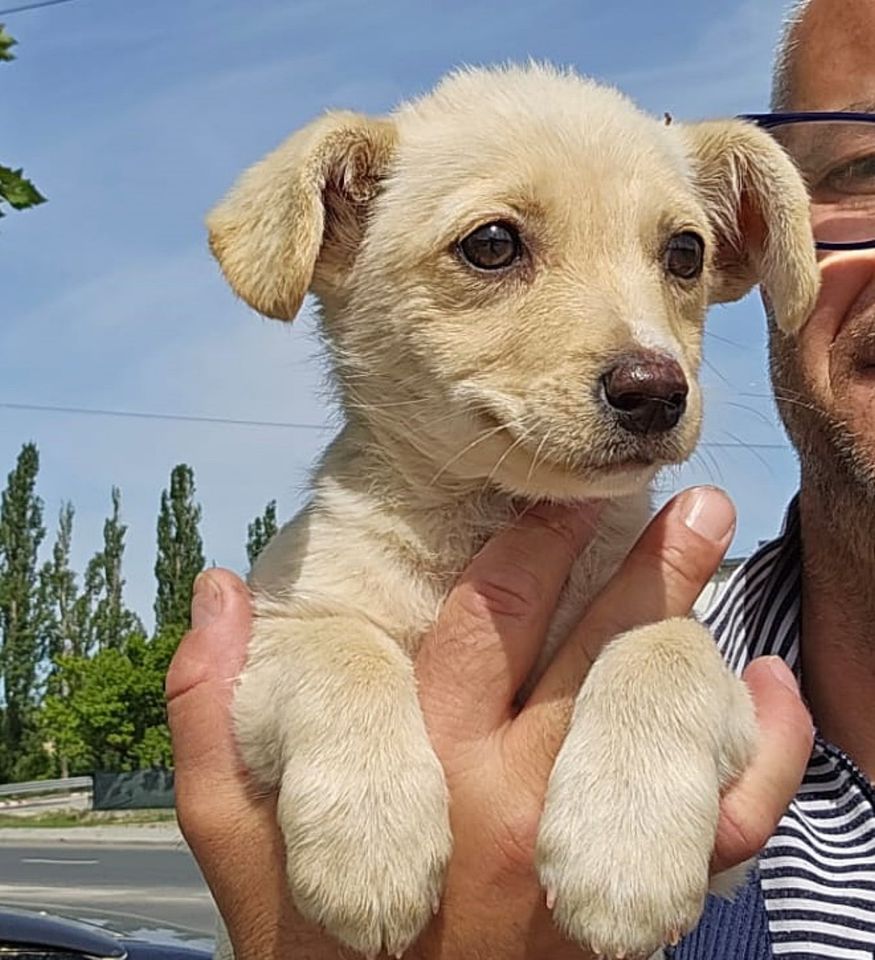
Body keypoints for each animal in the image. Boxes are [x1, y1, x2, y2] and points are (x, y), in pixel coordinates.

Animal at [207, 63, 820, 956]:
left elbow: (660, 645)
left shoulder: (726, 798)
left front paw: (623, 854)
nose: (655, 391)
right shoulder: (280, 628)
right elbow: (345, 651)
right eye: (492, 245)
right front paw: (374, 845)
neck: (492, 519)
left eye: (685, 252)